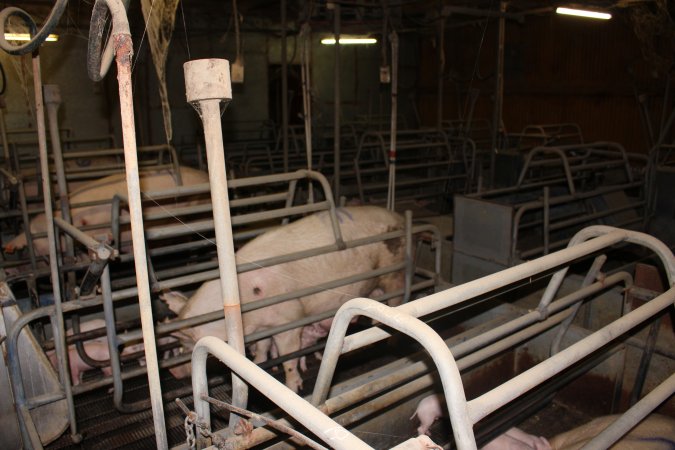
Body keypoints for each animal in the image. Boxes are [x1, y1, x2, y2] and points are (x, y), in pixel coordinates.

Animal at [168, 206, 406, 392]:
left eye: (186, 345)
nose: (173, 371)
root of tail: (398, 216)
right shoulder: (263, 326)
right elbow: (263, 347)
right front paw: (258, 364)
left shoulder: (289, 320)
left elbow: (289, 356)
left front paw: (294, 386)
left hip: (393, 271)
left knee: (397, 300)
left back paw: (392, 340)